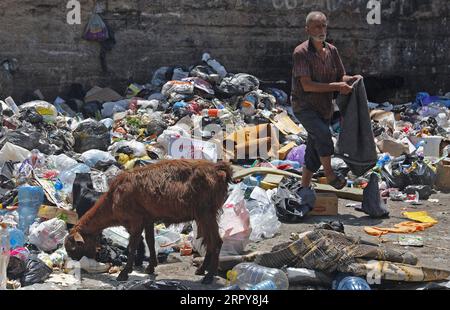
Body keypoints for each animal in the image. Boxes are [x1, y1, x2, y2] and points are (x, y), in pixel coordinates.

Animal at [64, 160, 232, 284]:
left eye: (73, 247)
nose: (74, 262)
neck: (113, 199)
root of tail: (218, 169)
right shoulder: (148, 218)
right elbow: (150, 241)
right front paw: (151, 267)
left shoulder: (135, 220)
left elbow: (133, 245)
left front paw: (124, 273)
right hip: (203, 215)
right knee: (209, 242)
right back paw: (201, 270)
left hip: (206, 212)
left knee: (216, 242)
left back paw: (208, 277)